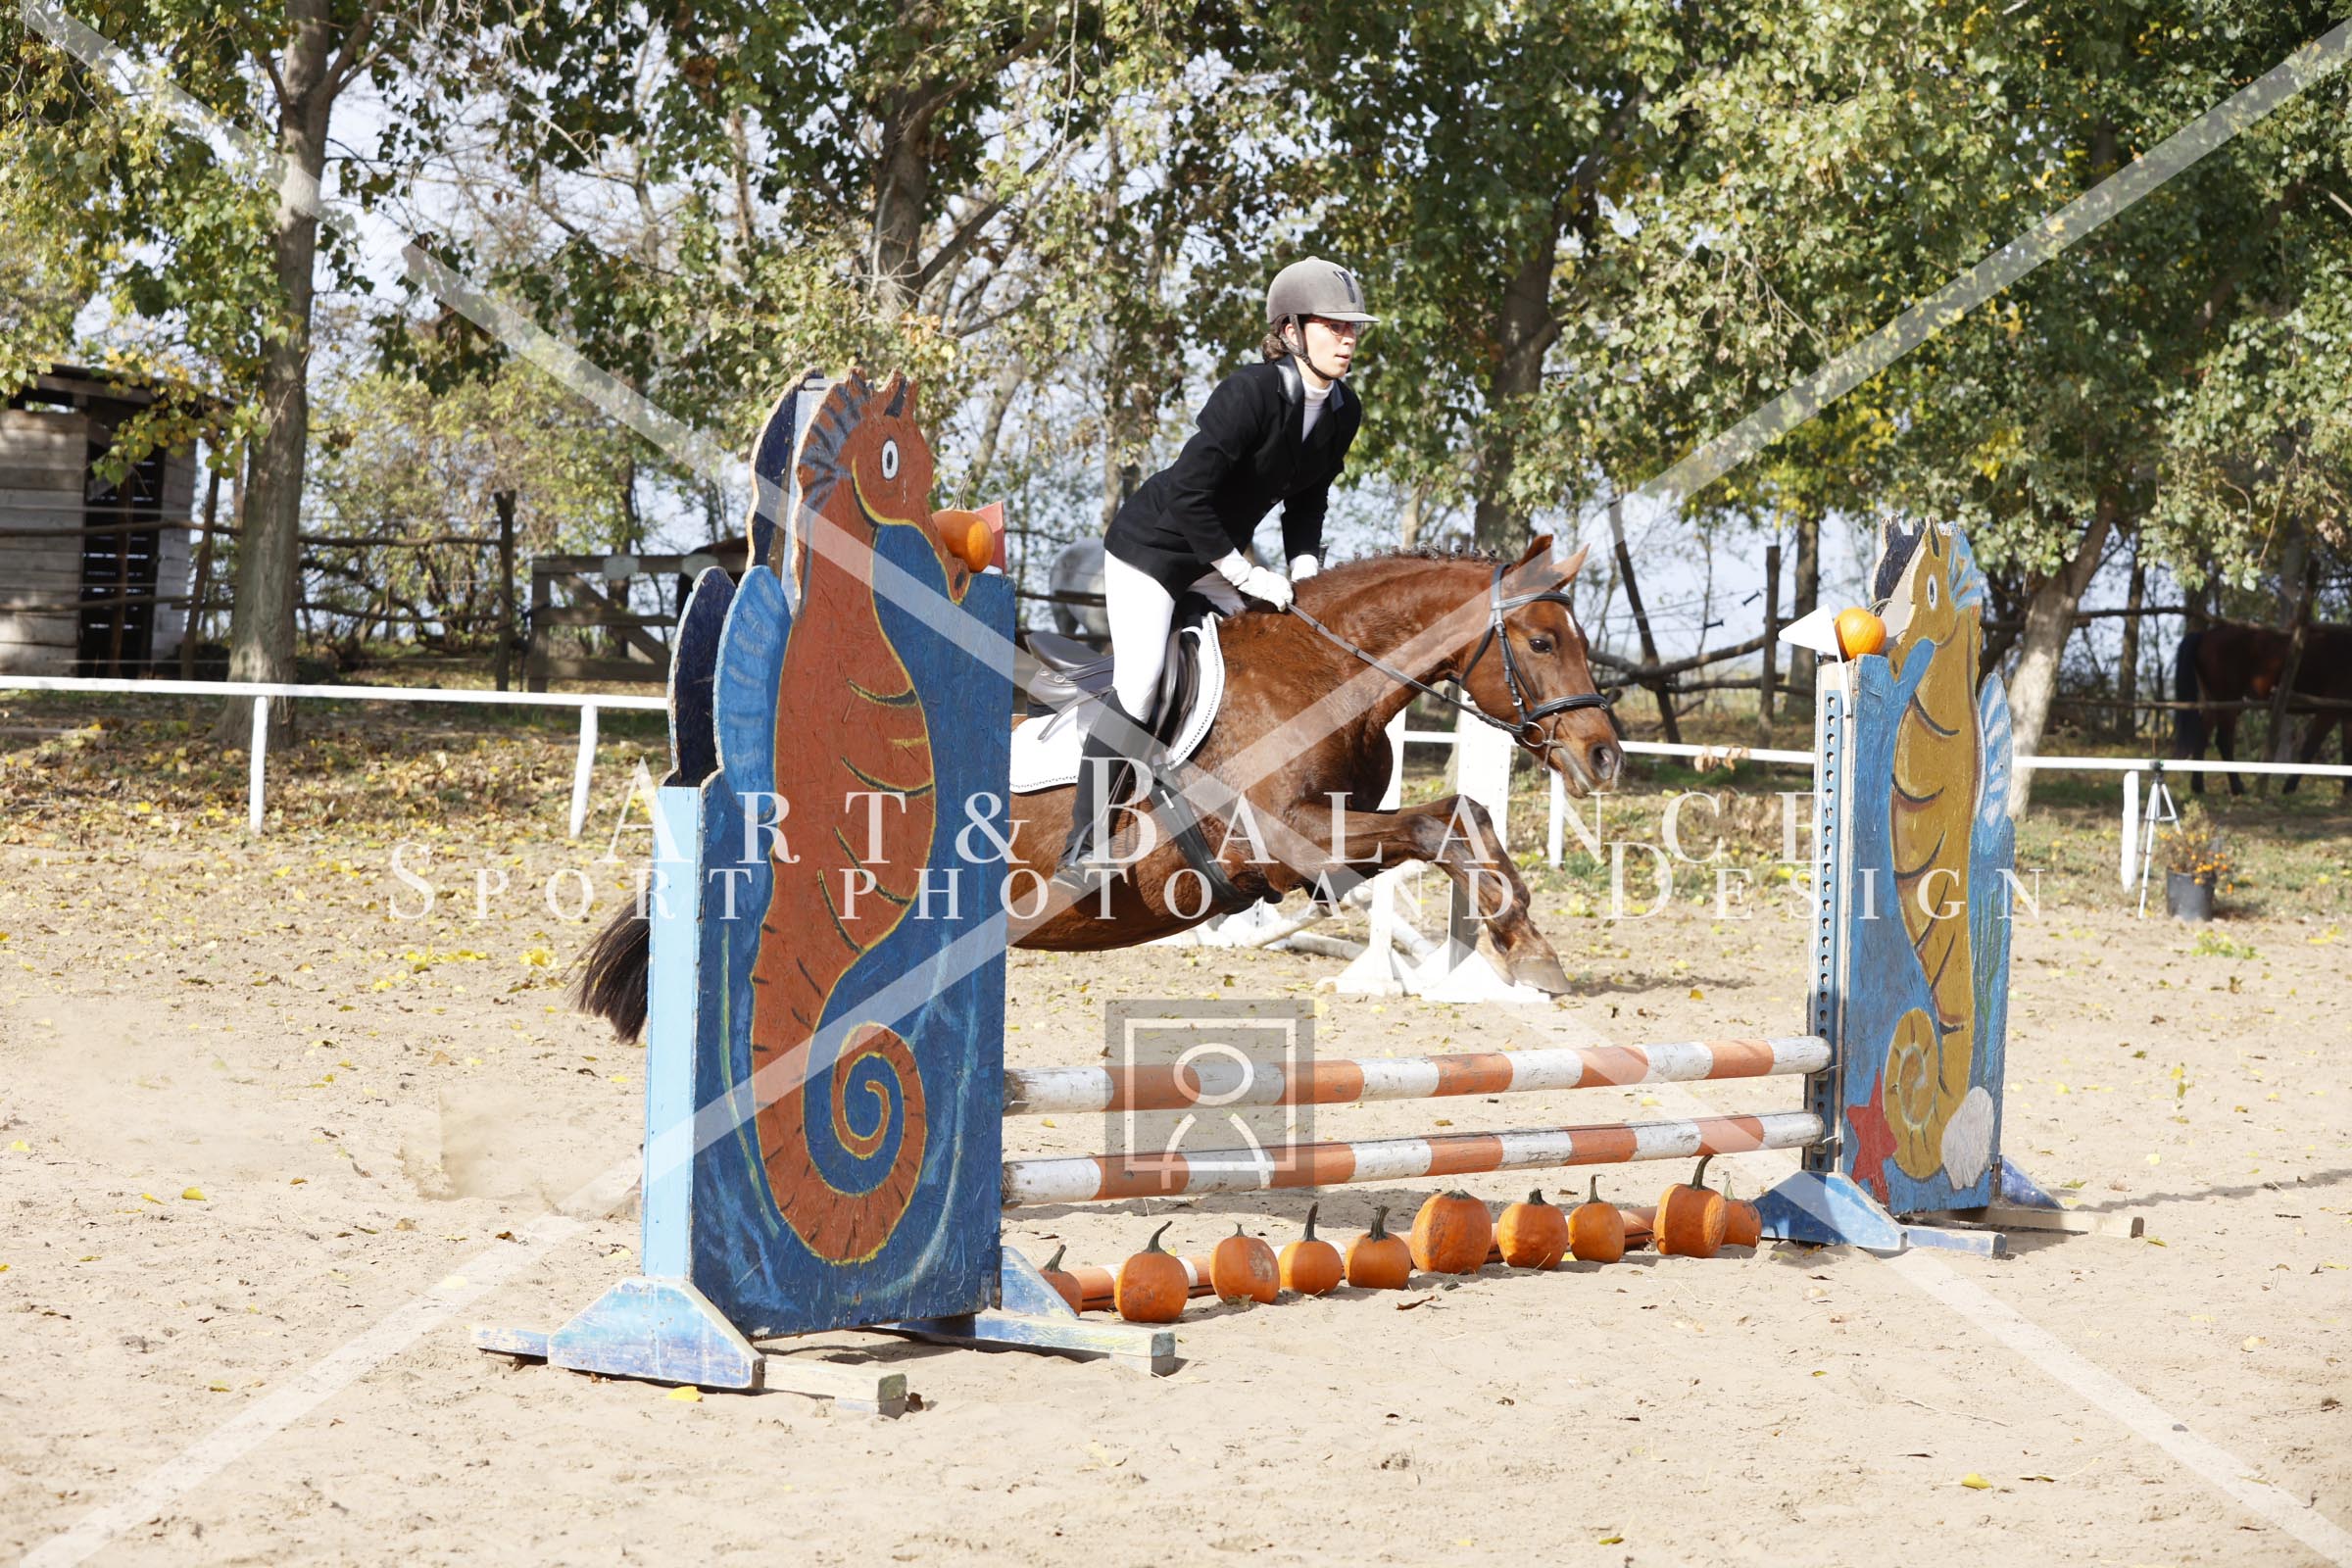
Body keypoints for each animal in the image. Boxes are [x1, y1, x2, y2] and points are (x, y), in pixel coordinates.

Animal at [575, 535, 1625, 1041]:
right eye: (1541, 641)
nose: (1605, 755)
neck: (1326, 671)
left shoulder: (1325, 841)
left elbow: (1459, 817)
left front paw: (1521, 944)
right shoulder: (1282, 839)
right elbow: (1445, 819)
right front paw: (1527, 948)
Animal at [2173, 621, 2352, 795]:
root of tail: (2206, 635)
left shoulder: (2347, 715)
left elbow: (2347, 751)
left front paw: (2347, 792)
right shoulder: (2329, 710)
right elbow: (2311, 747)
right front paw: (2289, 788)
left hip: (2213, 702)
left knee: (2201, 738)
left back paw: (2198, 787)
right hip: (2228, 702)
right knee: (2224, 741)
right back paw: (2237, 788)